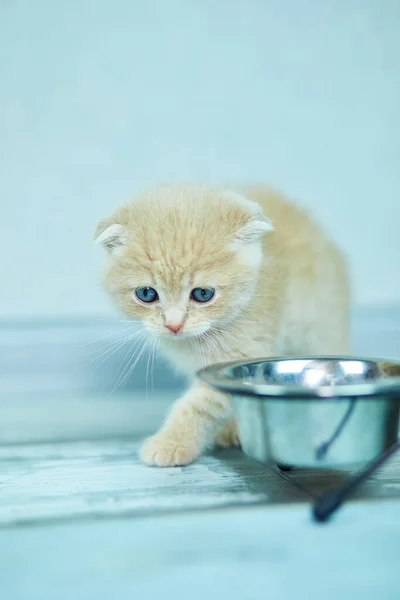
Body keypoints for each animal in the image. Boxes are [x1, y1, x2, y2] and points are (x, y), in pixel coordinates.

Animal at [94, 184, 350, 468]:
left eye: (203, 293)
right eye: (147, 294)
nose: (173, 325)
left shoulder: (244, 355)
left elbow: (200, 404)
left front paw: (171, 443)